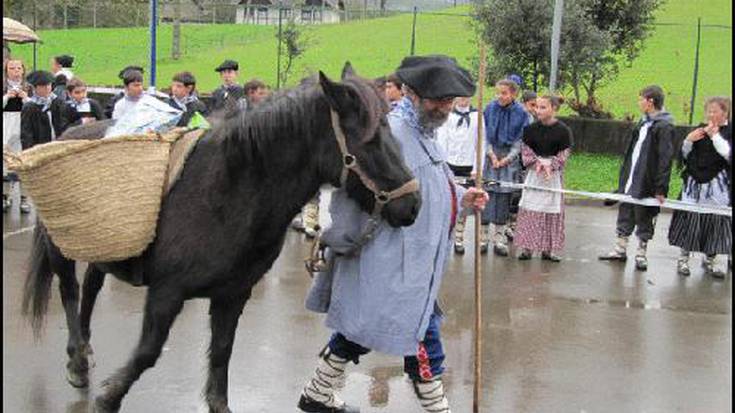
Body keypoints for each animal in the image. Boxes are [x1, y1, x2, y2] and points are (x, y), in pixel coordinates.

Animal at [21, 62, 420, 410]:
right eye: (371, 140)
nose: (413, 205)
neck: (227, 191)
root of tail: (69, 134)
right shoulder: (167, 293)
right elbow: (148, 352)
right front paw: (108, 398)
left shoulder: (232, 294)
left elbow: (222, 354)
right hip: (61, 248)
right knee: (70, 291)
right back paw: (76, 361)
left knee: (90, 287)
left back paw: (85, 349)